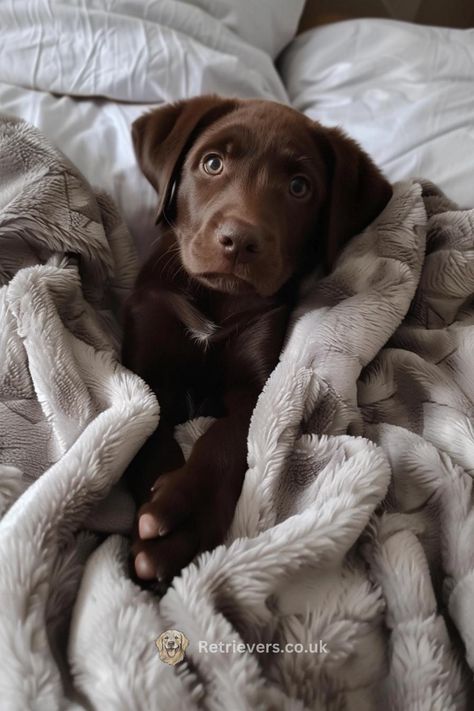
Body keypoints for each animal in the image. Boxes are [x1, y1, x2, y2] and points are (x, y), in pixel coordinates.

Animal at [122, 96, 392, 584]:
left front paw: (183, 516)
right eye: (212, 163)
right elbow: (149, 432)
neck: (217, 299)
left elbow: (228, 438)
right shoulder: (145, 368)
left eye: (300, 187)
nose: (240, 240)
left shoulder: (256, 382)